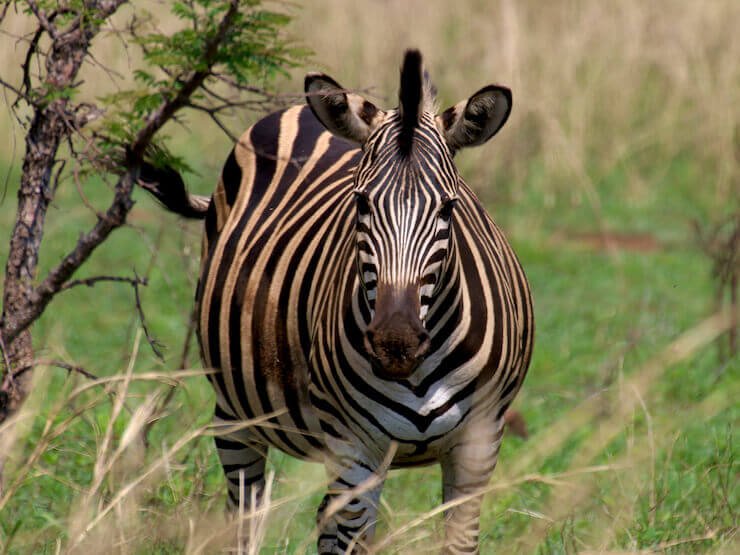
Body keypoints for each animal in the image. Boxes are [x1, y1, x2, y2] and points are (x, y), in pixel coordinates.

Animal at [139, 50, 534, 554]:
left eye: (449, 208)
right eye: (361, 203)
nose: (395, 344)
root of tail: (298, 111)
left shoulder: (480, 443)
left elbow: (458, 539)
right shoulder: (353, 447)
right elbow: (347, 538)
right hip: (235, 414)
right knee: (247, 514)